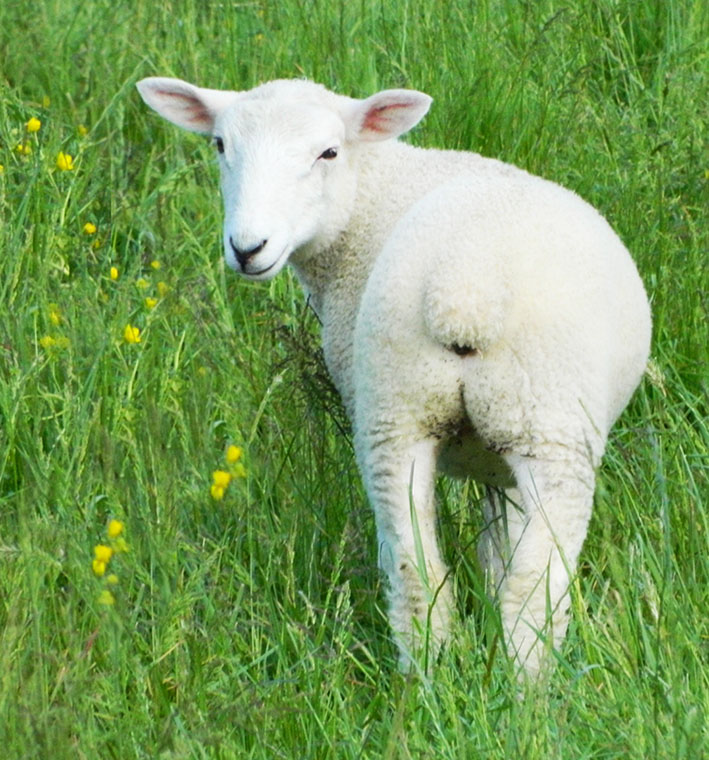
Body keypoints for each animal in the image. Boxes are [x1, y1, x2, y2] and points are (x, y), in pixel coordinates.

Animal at [136, 77, 648, 676]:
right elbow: (501, 554)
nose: (247, 248)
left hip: (435, 415)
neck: (369, 199)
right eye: (220, 145)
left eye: (328, 153)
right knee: (496, 586)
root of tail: (466, 289)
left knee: (440, 578)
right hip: (503, 421)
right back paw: (492, 692)